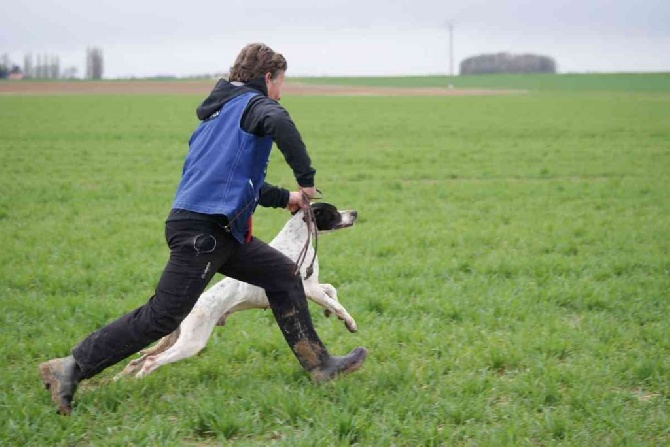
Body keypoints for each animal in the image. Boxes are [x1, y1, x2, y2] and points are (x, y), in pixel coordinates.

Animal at [118, 205, 360, 380]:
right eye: (334, 211)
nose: (355, 213)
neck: (298, 239)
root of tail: (191, 307)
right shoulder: (309, 288)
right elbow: (336, 303)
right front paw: (349, 320)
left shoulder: (314, 286)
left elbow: (332, 291)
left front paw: (332, 314)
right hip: (192, 342)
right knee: (150, 362)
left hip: (176, 339)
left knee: (137, 361)